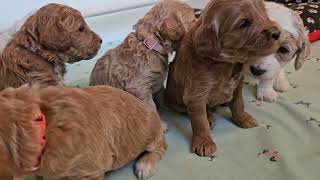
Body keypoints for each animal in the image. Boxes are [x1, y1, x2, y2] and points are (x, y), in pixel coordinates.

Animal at [165, 0, 280, 157]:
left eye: (264, 12)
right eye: (244, 23)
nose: (278, 33)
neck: (227, 63)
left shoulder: (238, 84)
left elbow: (238, 103)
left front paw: (242, 118)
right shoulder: (196, 94)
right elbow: (199, 121)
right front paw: (204, 142)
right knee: (192, 112)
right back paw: (209, 116)